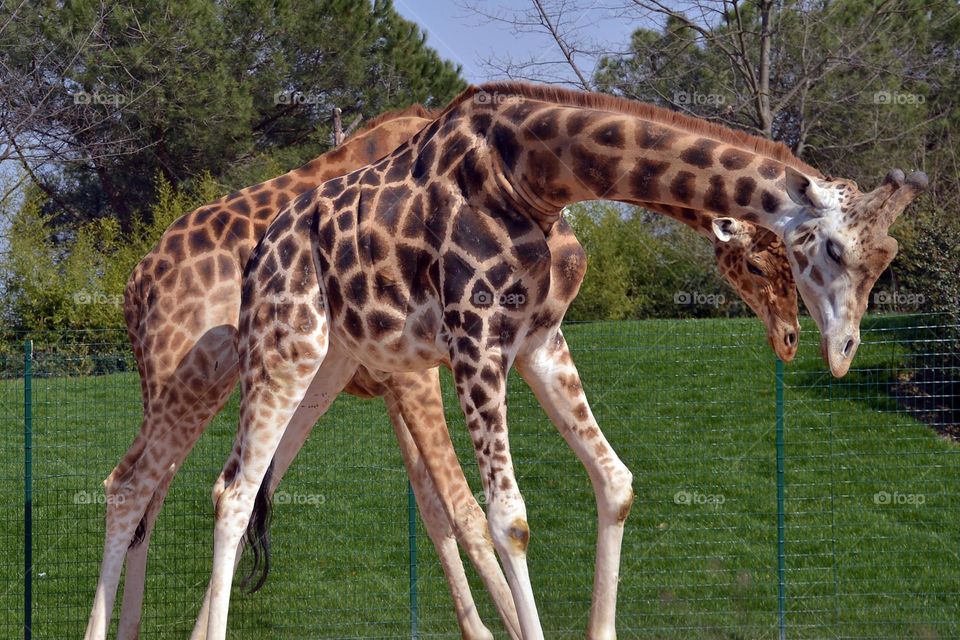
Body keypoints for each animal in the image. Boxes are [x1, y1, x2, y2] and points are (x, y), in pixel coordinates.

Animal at [86, 100, 799, 640]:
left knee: (195, 489)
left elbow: (448, 508)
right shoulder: (427, 365)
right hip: (198, 369)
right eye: (759, 261)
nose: (792, 338)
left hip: (286, 376)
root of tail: (133, 286)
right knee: (135, 484)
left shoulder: (468, 356)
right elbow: (472, 513)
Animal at [198, 81, 925, 640]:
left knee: (249, 482)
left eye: (887, 258)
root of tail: (259, 257)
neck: (532, 177)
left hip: (326, 362)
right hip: (285, 345)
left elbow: (616, 481)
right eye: (831, 251)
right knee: (233, 491)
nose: (834, 352)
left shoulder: (540, 341)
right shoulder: (476, 337)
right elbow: (509, 520)